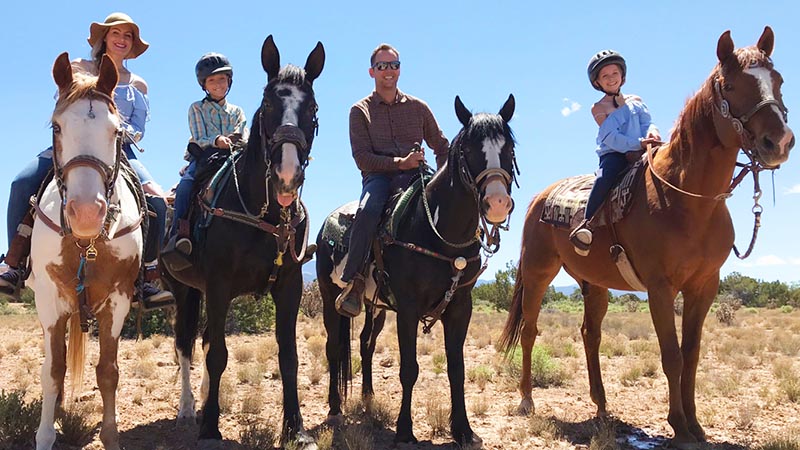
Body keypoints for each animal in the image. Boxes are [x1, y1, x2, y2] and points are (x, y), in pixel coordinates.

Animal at [29, 51, 144, 450]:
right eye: (56, 127)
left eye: (117, 131)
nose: (86, 213)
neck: (85, 243)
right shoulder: (49, 299)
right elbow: (52, 370)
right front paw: (45, 434)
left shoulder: (118, 300)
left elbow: (108, 372)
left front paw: (110, 434)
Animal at [161, 35, 324, 446]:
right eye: (267, 105)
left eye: (311, 107)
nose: (287, 175)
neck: (263, 213)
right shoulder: (218, 285)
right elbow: (217, 354)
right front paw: (209, 426)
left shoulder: (289, 285)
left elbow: (288, 356)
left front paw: (295, 428)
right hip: (185, 290)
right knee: (186, 344)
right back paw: (189, 408)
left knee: (203, 340)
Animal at [316, 94, 516, 446]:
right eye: (469, 150)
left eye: (509, 148)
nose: (497, 203)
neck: (438, 233)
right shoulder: (408, 309)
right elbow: (409, 369)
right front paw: (405, 431)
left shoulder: (460, 307)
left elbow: (456, 369)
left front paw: (463, 430)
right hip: (330, 298)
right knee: (334, 348)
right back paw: (335, 408)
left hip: (376, 306)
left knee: (366, 342)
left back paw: (368, 397)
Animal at [500, 26, 792, 448]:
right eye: (731, 86)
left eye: (779, 80)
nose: (780, 142)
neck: (689, 199)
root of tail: (539, 198)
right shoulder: (660, 287)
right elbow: (671, 355)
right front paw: (679, 426)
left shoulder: (705, 286)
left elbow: (692, 354)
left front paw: (696, 425)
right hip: (539, 273)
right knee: (530, 330)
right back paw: (526, 400)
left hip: (595, 284)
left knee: (590, 334)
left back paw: (602, 406)